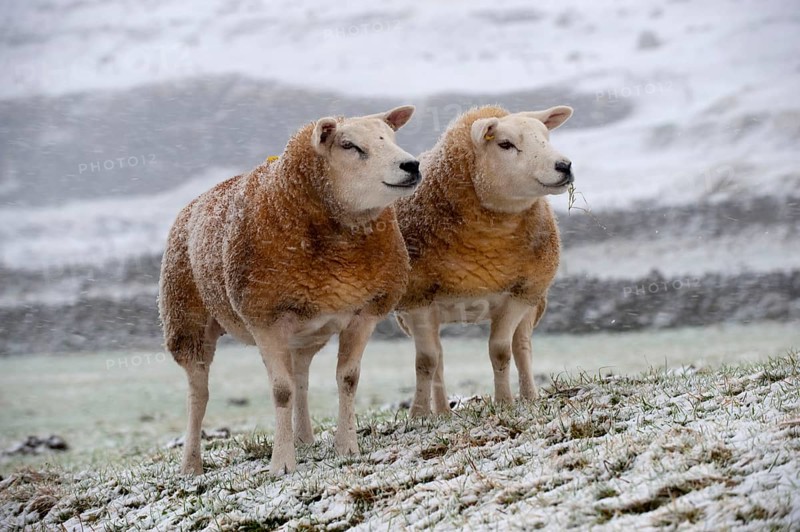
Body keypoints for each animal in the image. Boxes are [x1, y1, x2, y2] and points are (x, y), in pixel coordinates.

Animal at [159, 106, 421, 475]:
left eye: (393, 137)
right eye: (349, 145)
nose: (411, 165)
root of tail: (194, 203)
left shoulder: (363, 312)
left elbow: (347, 379)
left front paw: (347, 447)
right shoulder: (265, 318)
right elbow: (280, 391)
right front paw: (282, 463)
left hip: (305, 332)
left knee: (301, 376)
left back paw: (304, 438)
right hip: (186, 320)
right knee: (198, 393)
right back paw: (191, 464)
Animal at [395, 105, 574, 416]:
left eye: (545, 137)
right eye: (505, 144)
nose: (564, 166)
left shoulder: (518, 294)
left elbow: (501, 350)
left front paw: (504, 402)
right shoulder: (417, 299)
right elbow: (426, 361)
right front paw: (418, 415)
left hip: (533, 299)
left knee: (522, 346)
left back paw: (530, 396)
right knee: (439, 358)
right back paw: (442, 412)